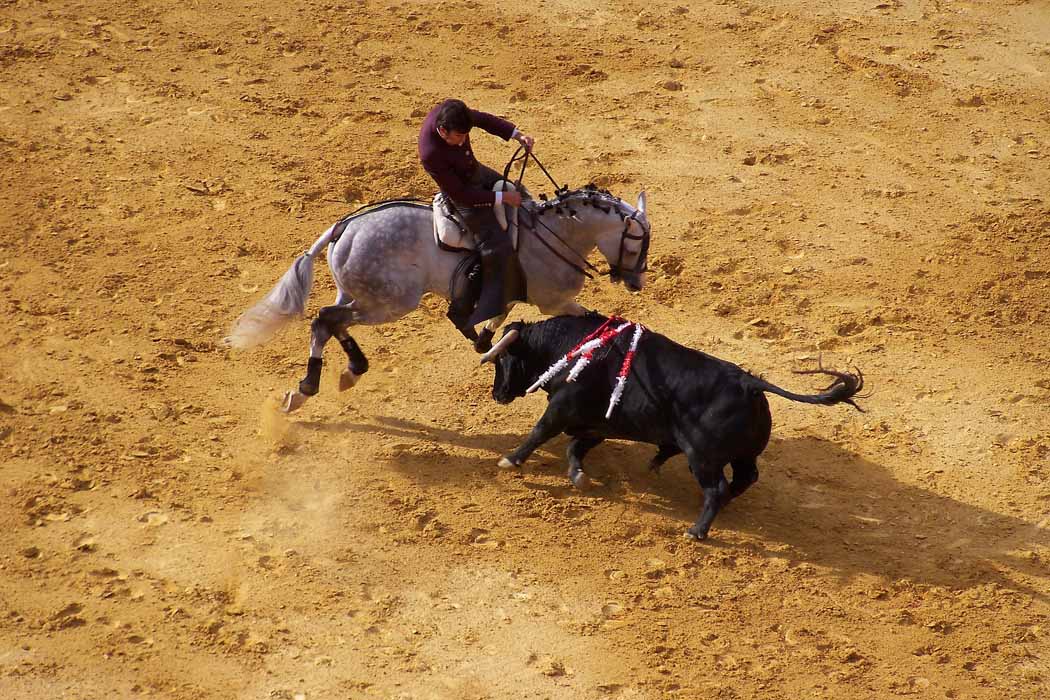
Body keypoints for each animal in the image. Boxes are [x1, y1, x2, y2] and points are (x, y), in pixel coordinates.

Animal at [225, 183, 646, 413]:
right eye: (634, 243)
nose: (636, 282)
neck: (552, 233)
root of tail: (344, 228)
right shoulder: (554, 302)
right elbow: (588, 319)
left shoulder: (512, 293)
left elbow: (497, 318)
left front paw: (482, 340)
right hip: (391, 302)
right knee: (326, 319)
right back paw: (309, 386)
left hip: (361, 295)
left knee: (333, 321)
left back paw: (348, 371)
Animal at [482, 316, 860, 541]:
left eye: (503, 359)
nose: (497, 393)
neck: (569, 346)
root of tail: (750, 383)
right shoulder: (599, 421)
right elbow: (576, 447)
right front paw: (578, 476)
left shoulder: (563, 408)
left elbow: (540, 432)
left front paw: (511, 460)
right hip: (741, 455)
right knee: (744, 478)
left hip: (703, 457)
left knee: (717, 488)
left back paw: (697, 531)